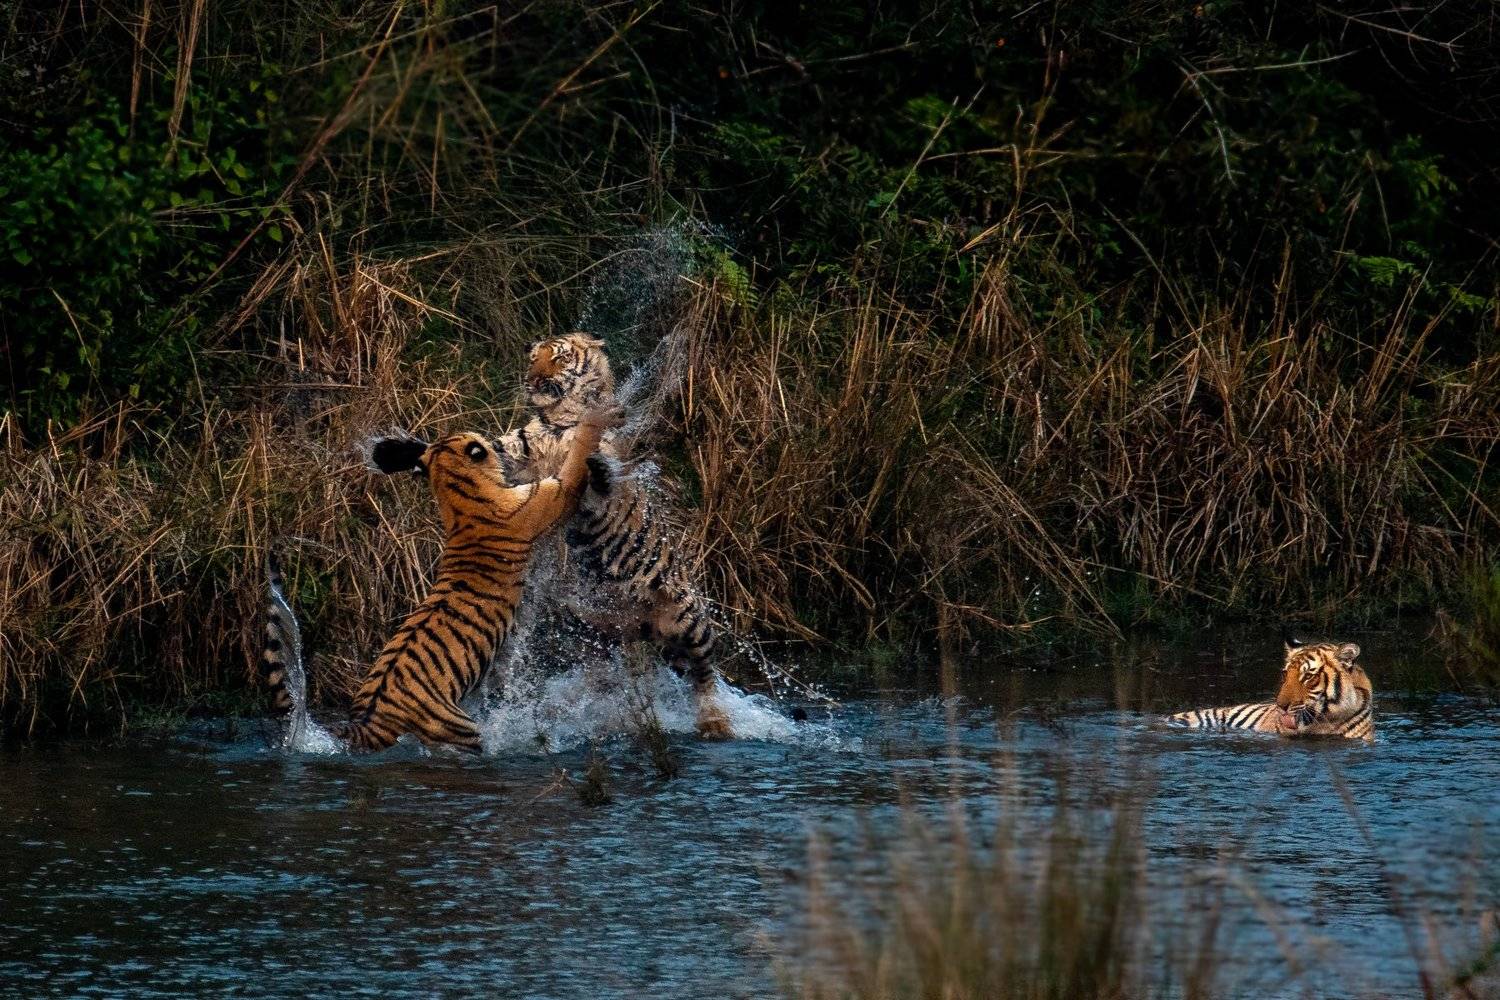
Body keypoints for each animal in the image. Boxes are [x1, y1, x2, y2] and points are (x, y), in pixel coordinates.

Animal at [258, 407, 618, 753]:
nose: (500, 445)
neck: (457, 494)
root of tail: (367, 716)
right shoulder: (551, 495)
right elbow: (578, 454)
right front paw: (596, 413)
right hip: (459, 729)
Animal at [493, 332, 734, 740]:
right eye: (533, 358)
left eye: (558, 359)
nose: (533, 380)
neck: (558, 419)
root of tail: (639, 626)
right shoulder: (520, 449)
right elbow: (494, 448)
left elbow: (595, 475)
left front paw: (596, 469)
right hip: (592, 631)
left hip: (688, 618)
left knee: (705, 675)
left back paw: (715, 722)